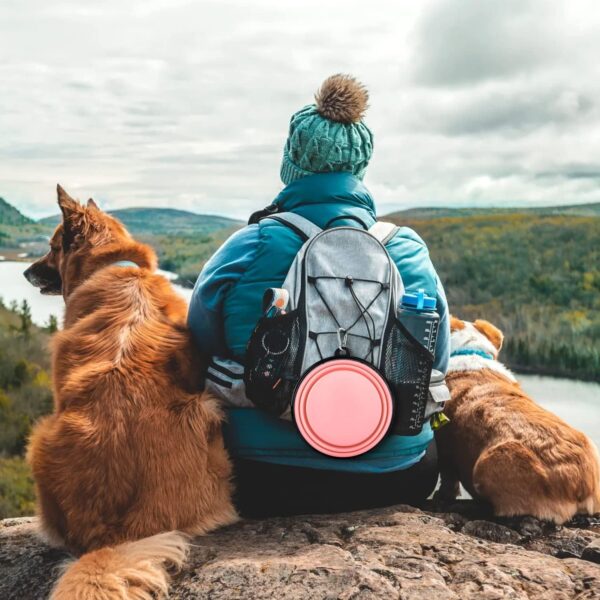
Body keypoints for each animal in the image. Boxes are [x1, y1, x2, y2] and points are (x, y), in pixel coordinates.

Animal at [24, 185, 238, 596]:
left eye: (53, 246)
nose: (26, 271)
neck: (116, 266)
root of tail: (118, 535)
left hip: (39, 437)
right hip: (208, 411)